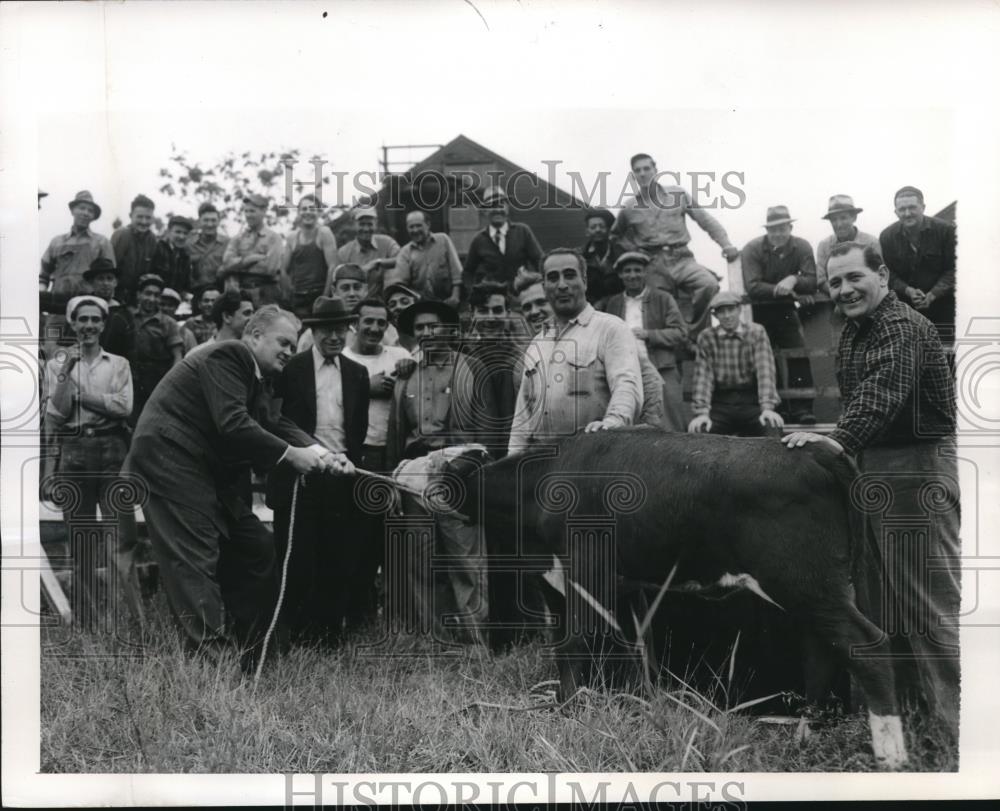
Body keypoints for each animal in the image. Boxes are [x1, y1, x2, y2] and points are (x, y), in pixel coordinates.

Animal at [436, 428, 908, 772]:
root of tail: (814, 449)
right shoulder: (625, 586)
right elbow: (634, 651)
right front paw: (637, 710)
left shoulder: (585, 571)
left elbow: (574, 643)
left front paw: (567, 713)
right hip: (819, 587)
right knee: (823, 650)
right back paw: (807, 733)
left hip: (805, 583)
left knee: (867, 646)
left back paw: (890, 754)